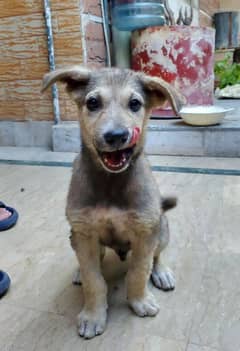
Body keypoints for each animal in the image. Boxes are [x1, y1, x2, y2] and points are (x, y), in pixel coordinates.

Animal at [42, 67, 183, 340]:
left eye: (135, 103)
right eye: (93, 103)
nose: (116, 136)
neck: (111, 182)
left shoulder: (145, 233)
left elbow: (139, 271)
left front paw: (140, 301)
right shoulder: (84, 232)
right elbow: (93, 280)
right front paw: (93, 315)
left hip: (161, 228)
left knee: (157, 256)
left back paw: (161, 272)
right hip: (76, 236)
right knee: (90, 260)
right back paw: (79, 271)